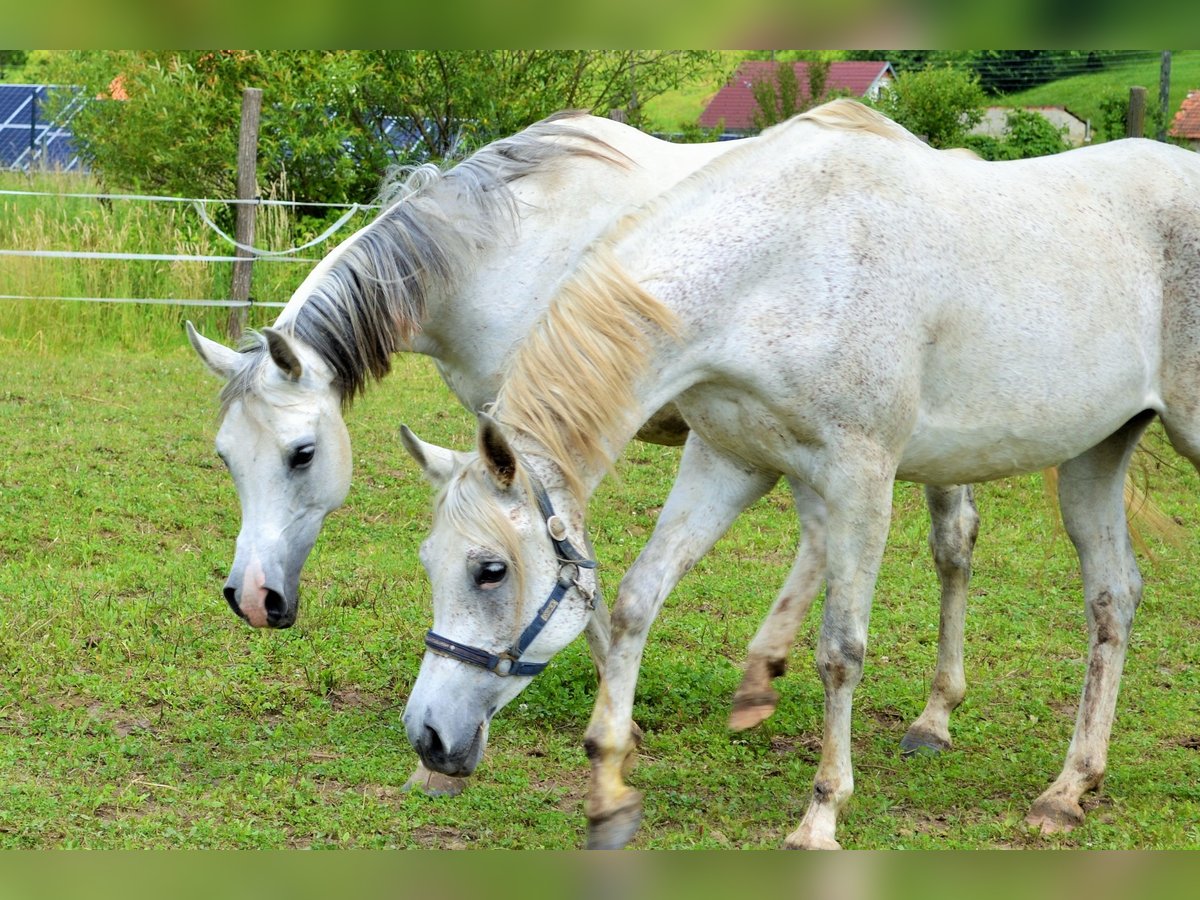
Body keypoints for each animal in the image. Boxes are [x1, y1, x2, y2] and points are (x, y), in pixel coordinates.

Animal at [398, 102, 1200, 849]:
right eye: (428, 563)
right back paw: (1067, 789)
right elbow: (635, 602)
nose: (427, 737)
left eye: (491, 571)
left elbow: (840, 651)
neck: (779, 270)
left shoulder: (862, 476)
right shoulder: (728, 461)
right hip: (1095, 456)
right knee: (1113, 598)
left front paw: (822, 815)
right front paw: (609, 789)